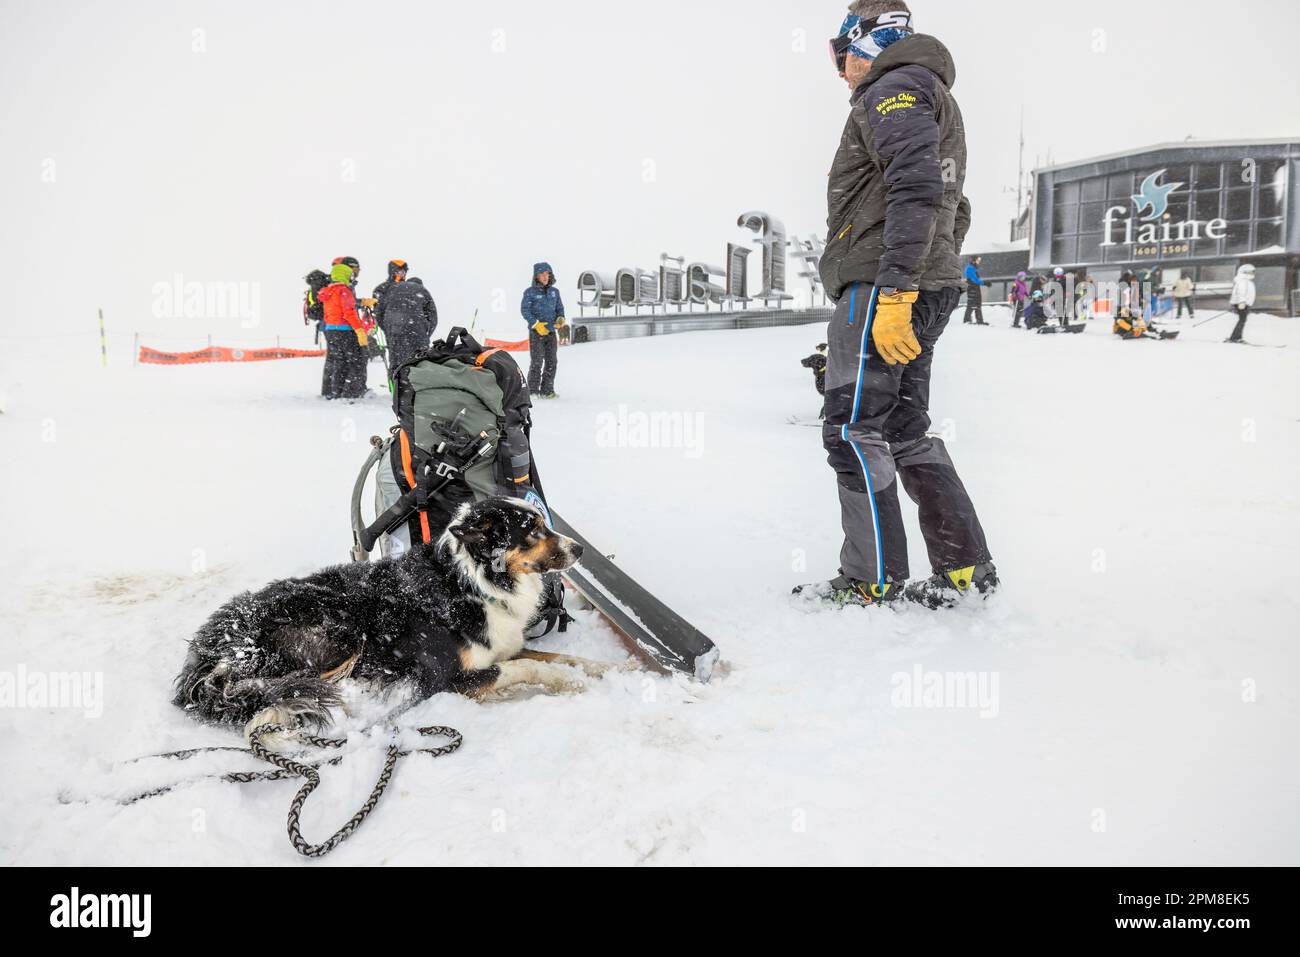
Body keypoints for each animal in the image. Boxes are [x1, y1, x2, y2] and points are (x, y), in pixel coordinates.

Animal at [171, 496, 585, 738]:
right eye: (533, 530)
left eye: (543, 522)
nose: (579, 548)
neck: (470, 582)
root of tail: (208, 649)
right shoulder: (445, 680)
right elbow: (527, 668)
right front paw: (568, 682)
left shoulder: (501, 648)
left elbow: (560, 656)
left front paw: (597, 669)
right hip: (340, 630)